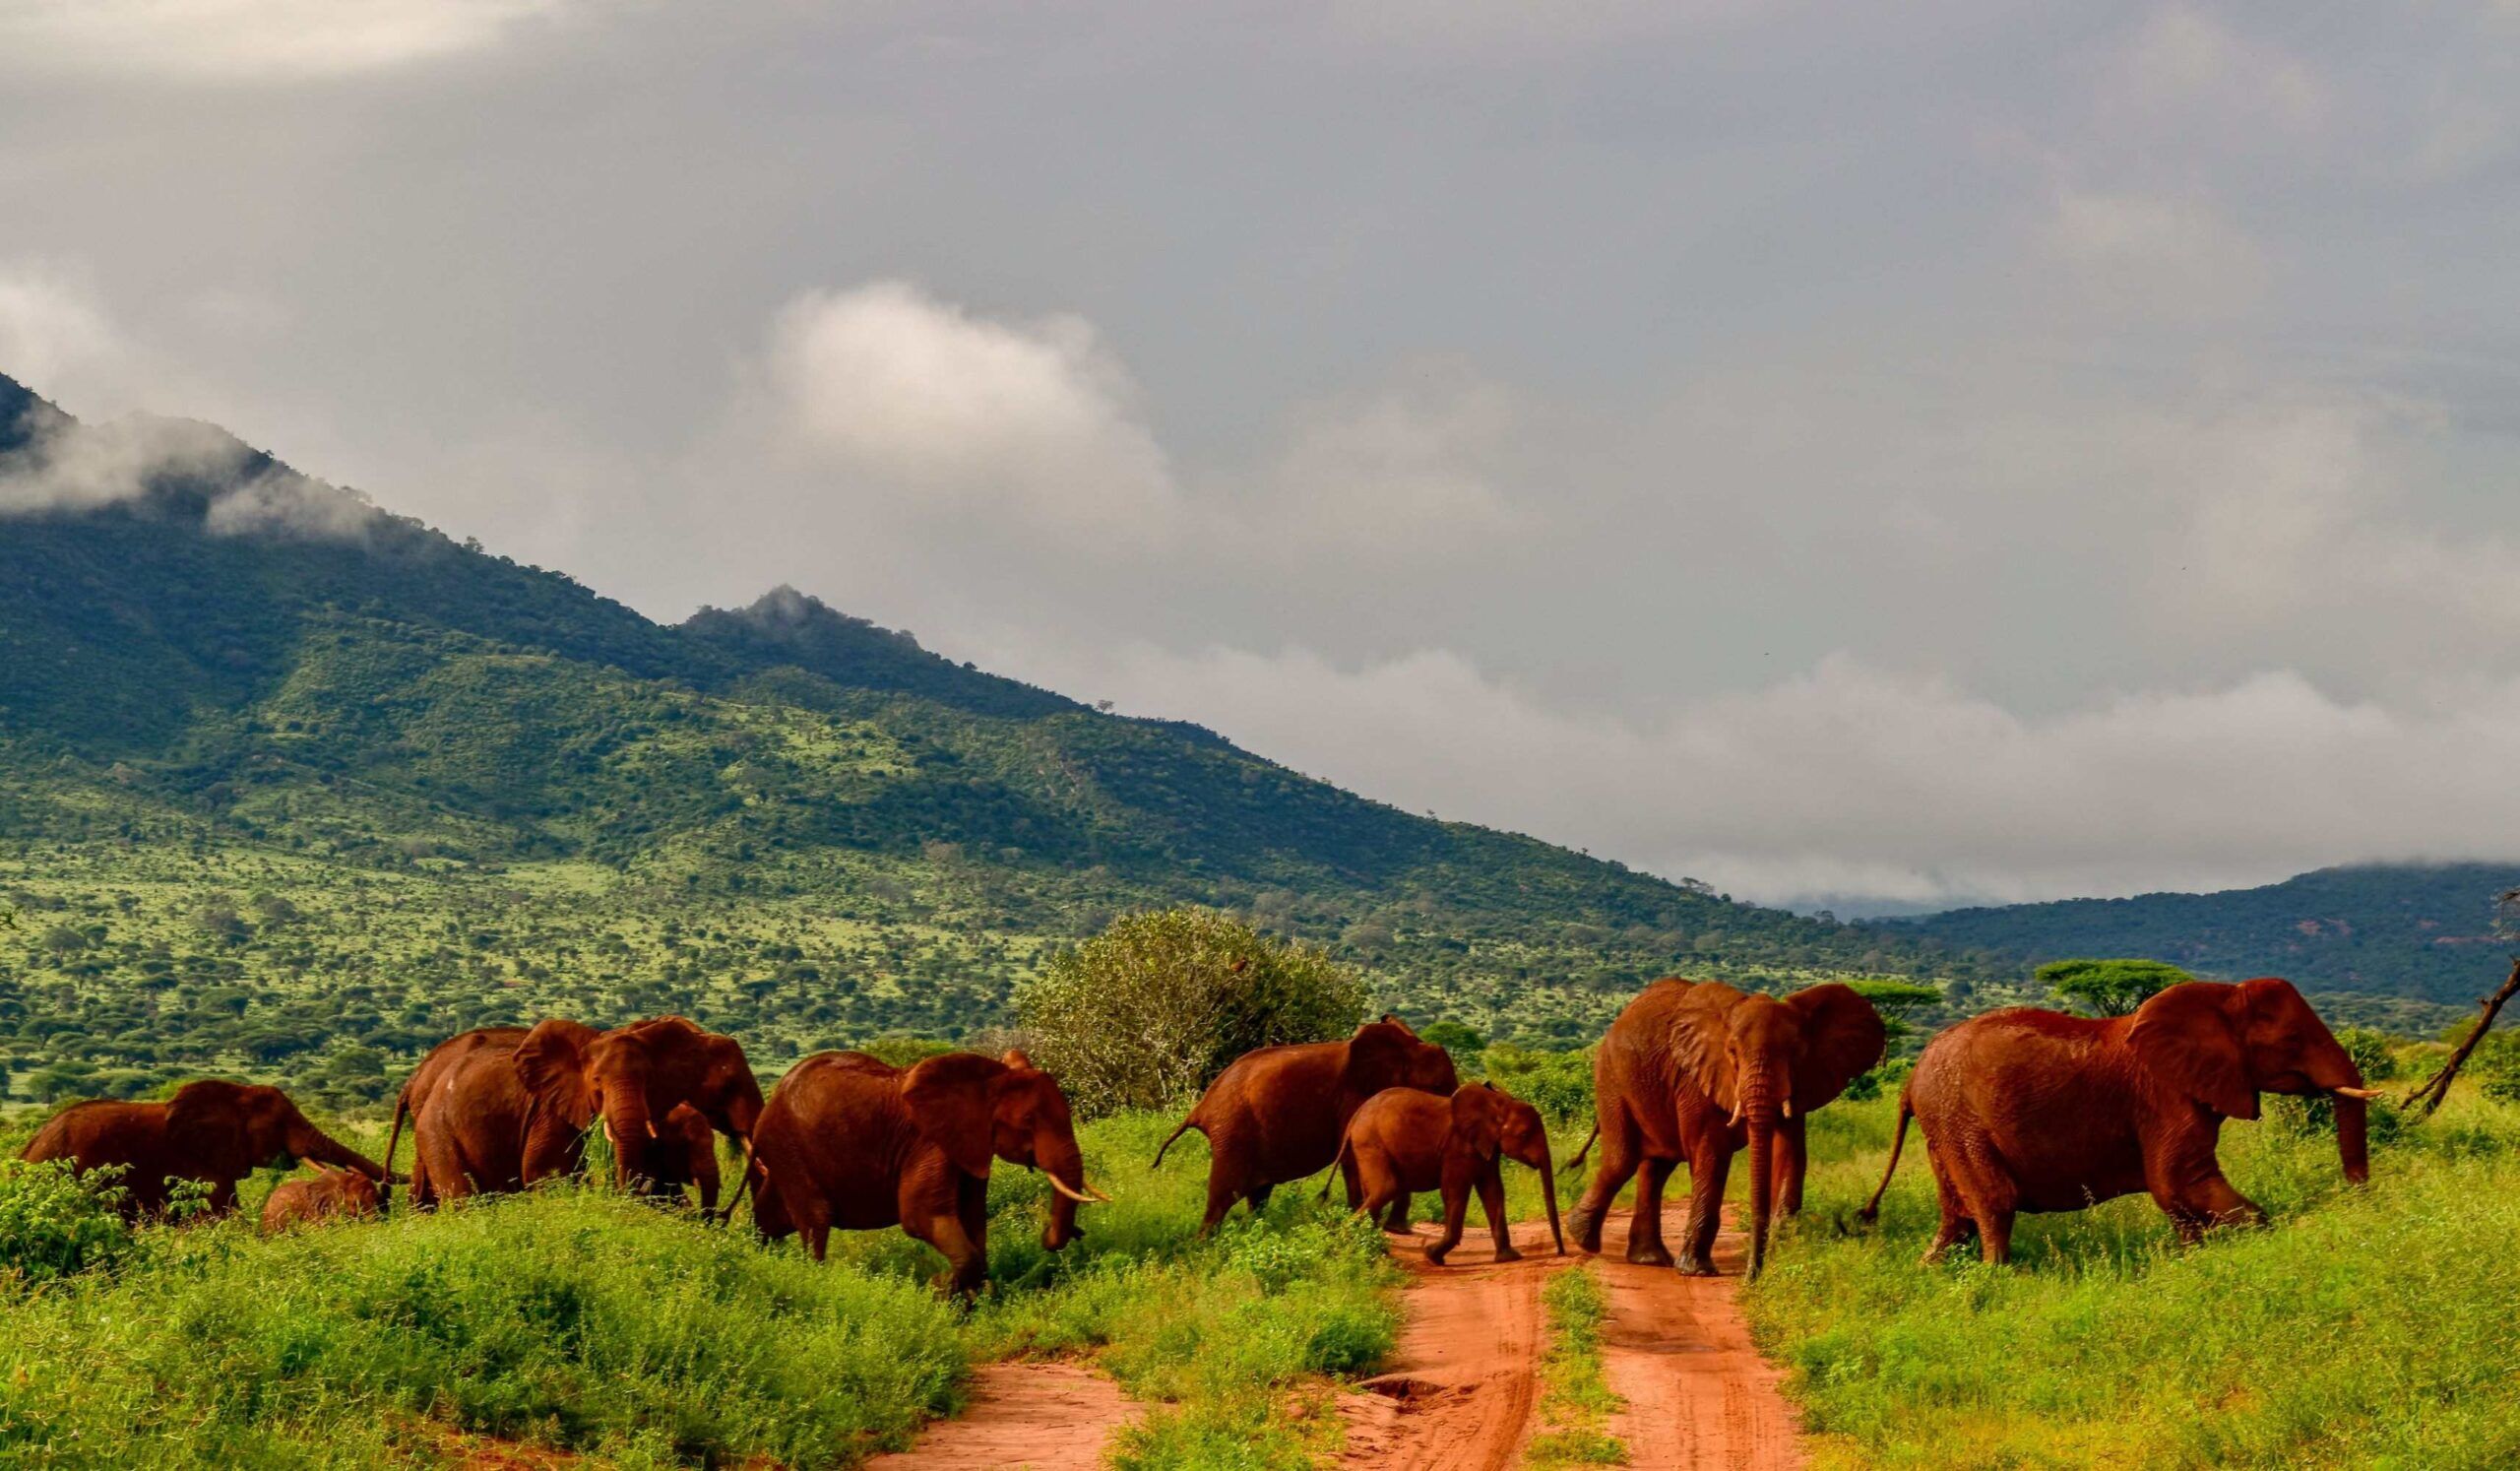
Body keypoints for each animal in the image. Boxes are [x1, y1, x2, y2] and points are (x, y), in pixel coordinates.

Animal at [740, 1037, 1108, 1289]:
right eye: (1029, 1120)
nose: (1051, 1233)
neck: (990, 1077)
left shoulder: (970, 1147)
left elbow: (973, 1217)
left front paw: (970, 1297)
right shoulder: (929, 1143)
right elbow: (921, 1217)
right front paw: (941, 1290)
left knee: (771, 1218)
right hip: (788, 1149)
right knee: (816, 1220)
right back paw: (813, 1280)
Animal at [1154, 1012, 1461, 1229]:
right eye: (1436, 1086)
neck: (1405, 1049)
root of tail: (1200, 1107)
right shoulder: (1354, 1098)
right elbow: (1352, 1158)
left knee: (1257, 1194)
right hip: (1232, 1132)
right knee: (1223, 1196)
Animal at [1562, 982, 1884, 1279]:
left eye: (1795, 1052)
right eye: (1732, 1052)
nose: (1753, 1274)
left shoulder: (1802, 1080)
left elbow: (1790, 1153)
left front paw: (1781, 1257)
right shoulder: (1697, 1077)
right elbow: (1711, 1155)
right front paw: (1697, 1271)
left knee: (1657, 1166)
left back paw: (1648, 1258)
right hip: (1611, 1078)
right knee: (1623, 1159)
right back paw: (1582, 1238)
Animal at [1874, 977, 2378, 1264]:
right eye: (2292, 1040)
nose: (2357, 1198)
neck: (2220, 996)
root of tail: (1910, 1080)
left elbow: (2177, 1197)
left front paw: (2192, 1260)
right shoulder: (2164, 1096)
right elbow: (2178, 1183)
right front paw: (2255, 1241)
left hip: (1944, 1125)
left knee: (1956, 1217)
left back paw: (1932, 1275)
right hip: (1958, 1118)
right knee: (1996, 1203)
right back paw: (1997, 1280)